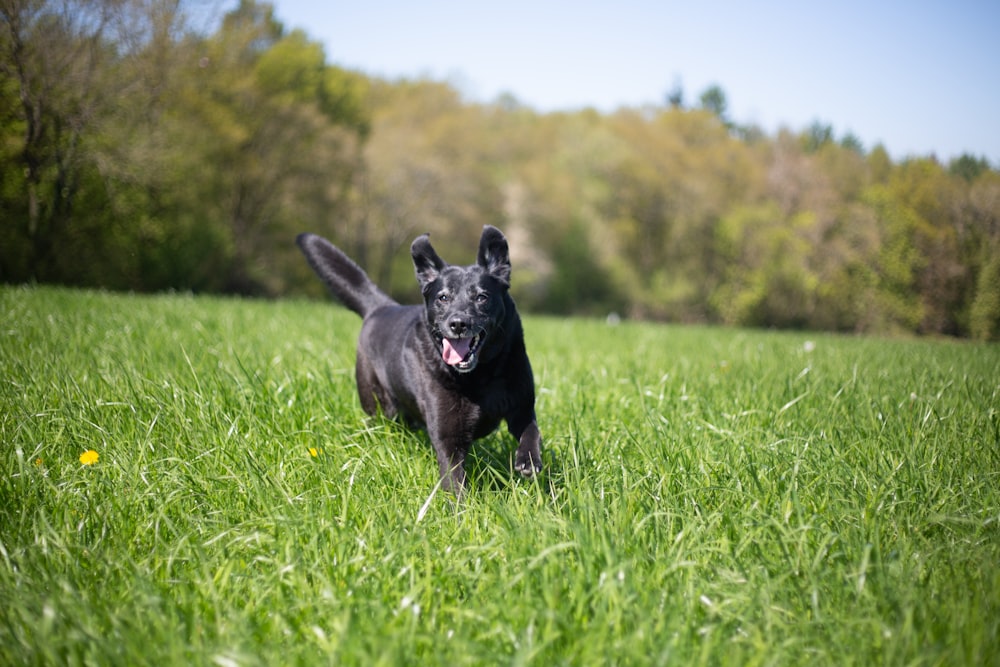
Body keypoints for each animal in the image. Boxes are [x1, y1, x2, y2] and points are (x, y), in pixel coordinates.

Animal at [296, 227, 544, 494]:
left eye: (482, 297)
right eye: (443, 298)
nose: (458, 324)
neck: (481, 375)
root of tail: (380, 308)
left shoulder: (522, 407)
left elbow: (531, 431)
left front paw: (528, 459)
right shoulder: (448, 439)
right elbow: (455, 484)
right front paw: (464, 506)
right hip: (379, 406)